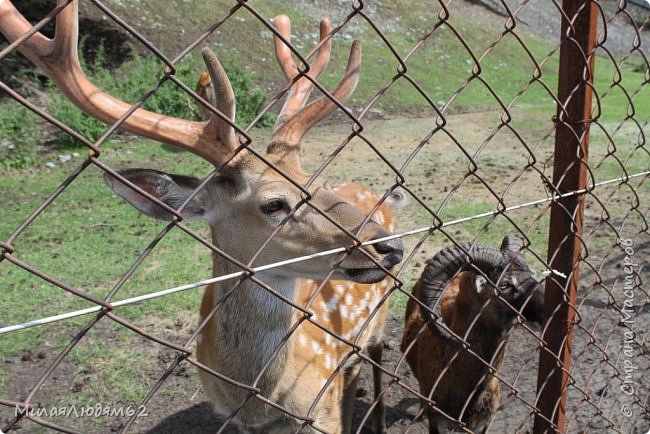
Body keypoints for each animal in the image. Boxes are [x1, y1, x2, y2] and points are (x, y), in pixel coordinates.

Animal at [0, 1, 402, 432]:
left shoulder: (320, 412)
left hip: (379, 318)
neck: (261, 399)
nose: (391, 246)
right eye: (274, 204)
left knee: (375, 357)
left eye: (317, 181)